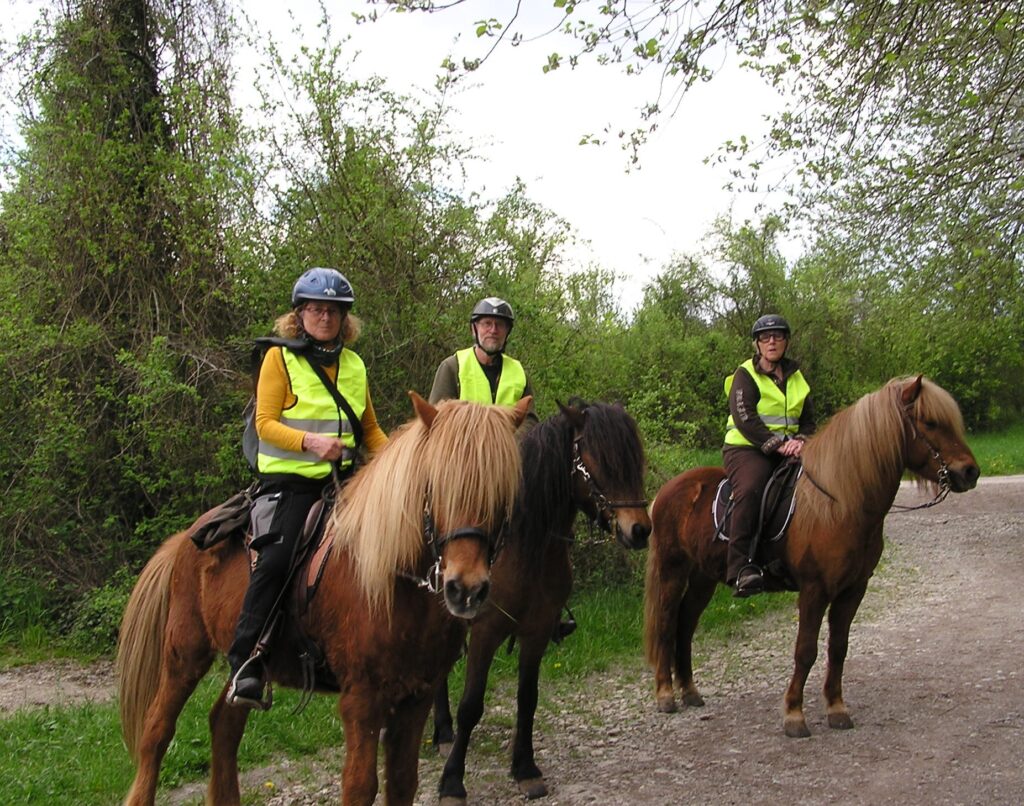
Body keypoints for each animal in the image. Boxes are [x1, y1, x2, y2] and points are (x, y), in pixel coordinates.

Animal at [117, 393, 531, 806]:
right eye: (435, 485)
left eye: (503, 493)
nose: (466, 589)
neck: (387, 581)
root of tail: (183, 541)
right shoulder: (362, 700)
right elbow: (360, 787)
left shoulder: (417, 698)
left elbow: (402, 783)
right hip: (185, 653)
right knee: (157, 732)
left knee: (224, 723)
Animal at [433, 399, 652, 805]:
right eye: (598, 460)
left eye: (634, 460)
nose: (640, 530)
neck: (525, 546)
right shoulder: (486, 631)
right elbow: (471, 705)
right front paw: (453, 782)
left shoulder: (536, 631)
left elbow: (528, 698)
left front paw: (525, 769)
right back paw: (441, 733)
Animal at [644, 376, 980, 738]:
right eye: (930, 423)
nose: (970, 472)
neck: (841, 503)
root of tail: (666, 491)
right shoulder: (814, 590)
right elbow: (806, 651)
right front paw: (794, 715)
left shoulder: (853, 590)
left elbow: (838, 648)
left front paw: (836, 708)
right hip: (672, 571)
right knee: (666, 624)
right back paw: (666, 695)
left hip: (703, 578)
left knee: (685, 624)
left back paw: (690, 692)